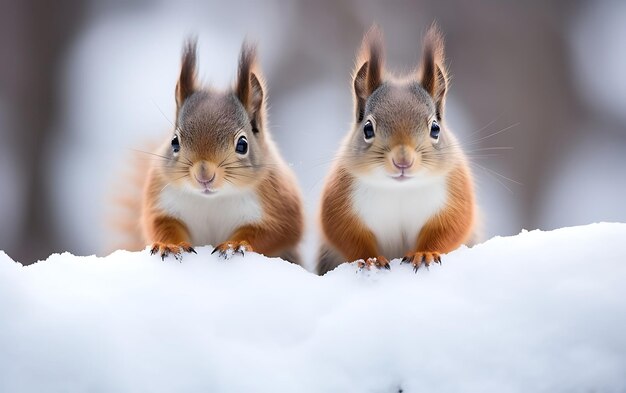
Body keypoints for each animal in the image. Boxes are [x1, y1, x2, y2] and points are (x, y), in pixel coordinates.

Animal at [122, 39, 302, 264]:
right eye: (174, 142)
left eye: (242, 144)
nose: (204, 175)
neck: (213, 199)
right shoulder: (161, 201)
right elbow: (162, 225)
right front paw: (170, 246)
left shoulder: (279, 207)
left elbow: (272, 233)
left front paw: (235, 245)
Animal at [314, 24, 476, 274]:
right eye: (367, 128)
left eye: (435, 128)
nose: (403, 161)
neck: (399, 189)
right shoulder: (340, 201)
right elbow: (347, 235)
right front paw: (371, 259)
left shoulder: (455, 196)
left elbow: (449, 228)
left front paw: (425, 253)